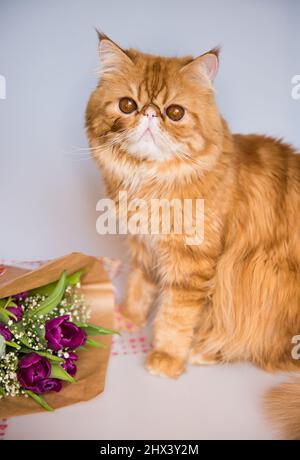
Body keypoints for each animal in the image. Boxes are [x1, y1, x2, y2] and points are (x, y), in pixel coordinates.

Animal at [86, 32, 300, 438]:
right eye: (127, 105)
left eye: (174, 113)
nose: (149, 114)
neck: (150, 182)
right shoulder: (144, 250)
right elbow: (140, 287)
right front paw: (128, 318)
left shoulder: (192, 264)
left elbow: (174, 316)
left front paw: (166, 358)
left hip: (261, 279)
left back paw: (203, 351)